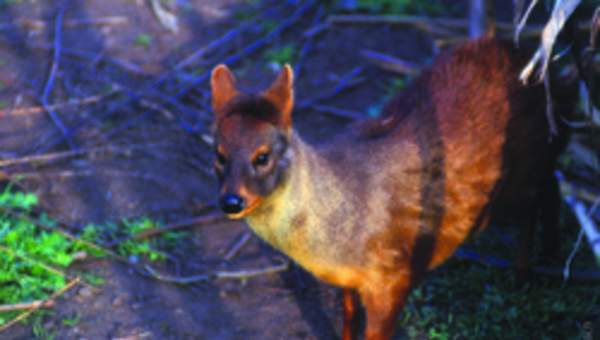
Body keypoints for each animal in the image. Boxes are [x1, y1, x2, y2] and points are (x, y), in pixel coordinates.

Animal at [209, 37, 568, 340]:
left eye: (262, 156)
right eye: (219, 155)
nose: (231, 201)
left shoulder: (392, 277)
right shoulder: (349, 279)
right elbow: (349, 319)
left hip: (522, 171)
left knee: (535, 203)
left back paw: (527, 276)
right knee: (551, 186)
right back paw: (549, 258)